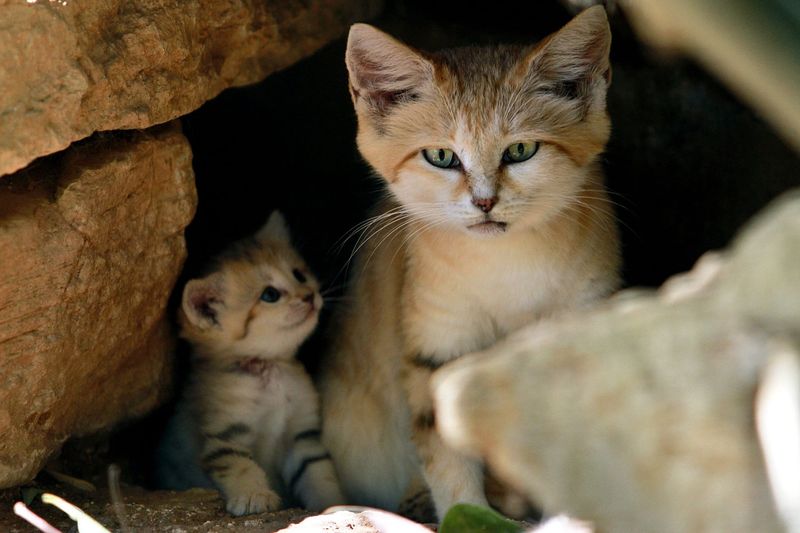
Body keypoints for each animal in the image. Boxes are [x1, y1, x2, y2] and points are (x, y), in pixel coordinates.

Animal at [157, 211, 344, 516]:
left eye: (299, 274)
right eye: (270, 295)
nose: (309, 296)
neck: (268, 370)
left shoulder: (302, 438)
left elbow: (320, 474)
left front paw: (335, 503)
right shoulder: (225, 438)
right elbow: (242, 468)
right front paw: (253, 495)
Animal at [318, 4, 620, 520]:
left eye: (520, 150)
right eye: (442, 156)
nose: (484, 202)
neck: (506, 265)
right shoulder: (438, 347)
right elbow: (447, 454)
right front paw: (468, 510)